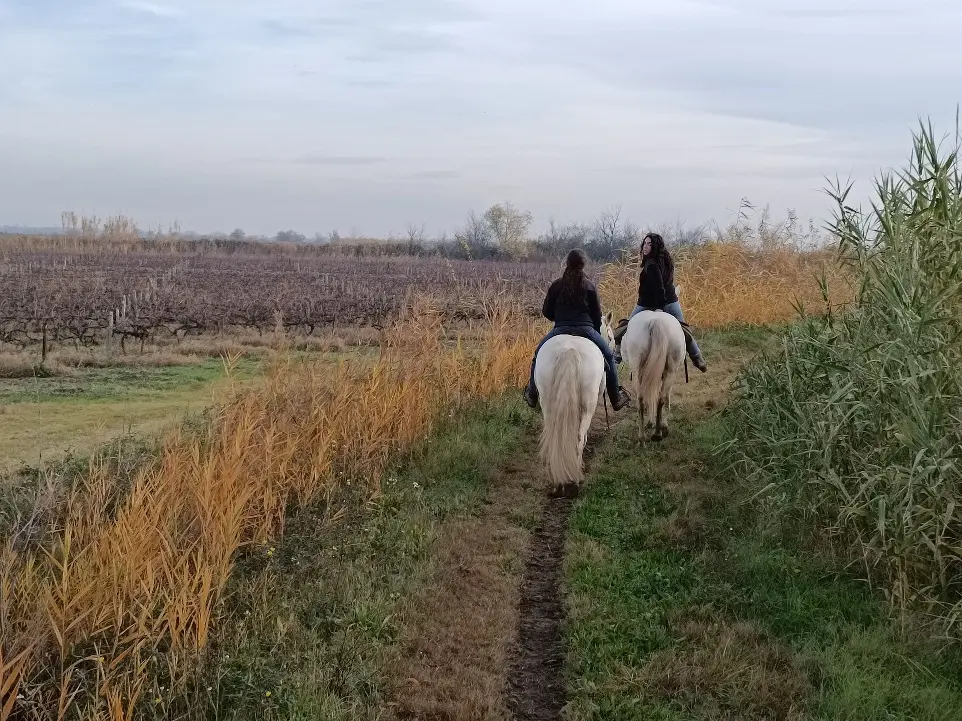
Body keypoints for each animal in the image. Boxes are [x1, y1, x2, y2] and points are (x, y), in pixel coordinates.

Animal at [532, 312, 616, 498]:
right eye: (611, 337)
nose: (618, 356)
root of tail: (568, 350)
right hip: (588, 406)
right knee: (579, 437)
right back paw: (576, 478)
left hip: (547, 403)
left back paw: (557, 483)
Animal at [616, 290, 684, 442]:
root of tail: (656, 321)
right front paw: (660, 424)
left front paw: (651, 422)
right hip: (671, 370)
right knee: (661, 397)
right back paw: (658, 433)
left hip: (637, 370)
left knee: (642, 399)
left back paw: (644, 437)